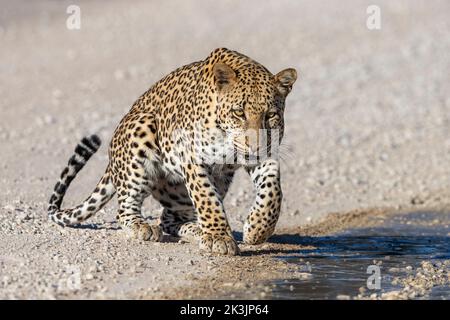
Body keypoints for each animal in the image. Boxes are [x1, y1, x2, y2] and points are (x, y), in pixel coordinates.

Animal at [48, 47, 296, 256]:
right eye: (239, 113)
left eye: (270, 115)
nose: (255, 146)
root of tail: (112, 161)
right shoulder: (194, 159)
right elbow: (207, 199)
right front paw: (219, 237)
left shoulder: (266, 155)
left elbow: (273, 192)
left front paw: (256, 229)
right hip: (141, 130)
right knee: (126, 208)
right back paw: (142, 226)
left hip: (198, 186)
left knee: (168, 219)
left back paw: (196, 230)